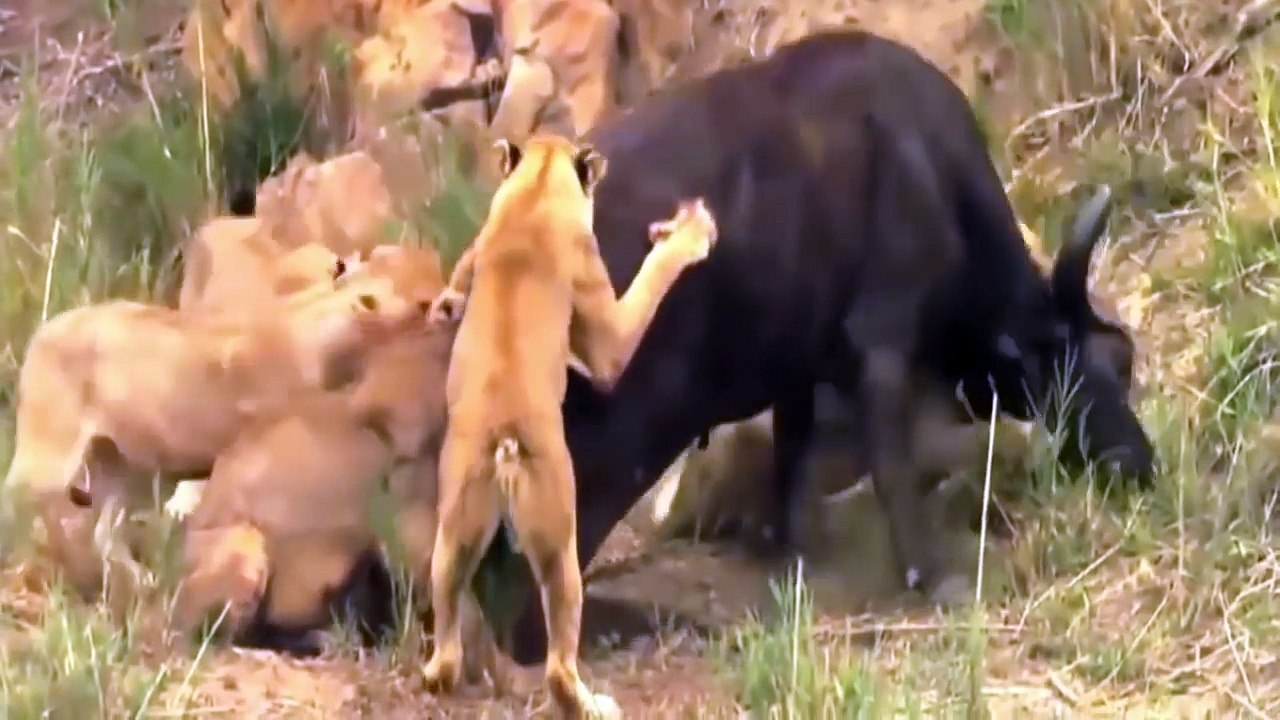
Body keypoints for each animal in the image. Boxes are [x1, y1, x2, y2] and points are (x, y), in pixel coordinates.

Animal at [2, 252, 429, 602]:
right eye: (418, 304)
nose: (437, 304)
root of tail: (44, 329)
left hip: (123, 468)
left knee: (103, 534)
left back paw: (140, 584)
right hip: (49, 456)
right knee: (20, 503)